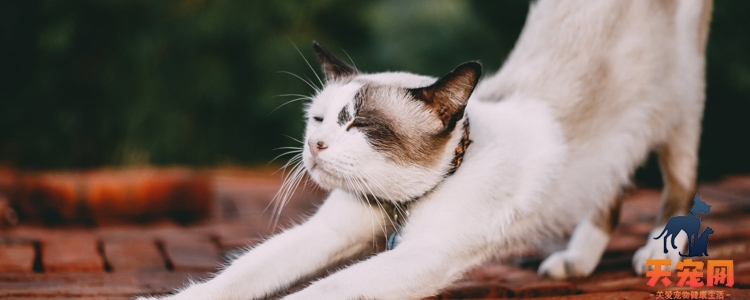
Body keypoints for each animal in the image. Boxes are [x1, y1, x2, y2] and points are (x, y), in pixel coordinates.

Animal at [137, 0, 716, 300]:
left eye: (359, 124)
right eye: (319, 120)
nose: (316, 146)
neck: (401, 203)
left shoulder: (423, 256)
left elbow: (317, 293)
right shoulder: (328, 233)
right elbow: (236, 277)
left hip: (679, 111)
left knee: (679, 187)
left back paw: (655, 258)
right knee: (609, 189)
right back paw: (573, 263)